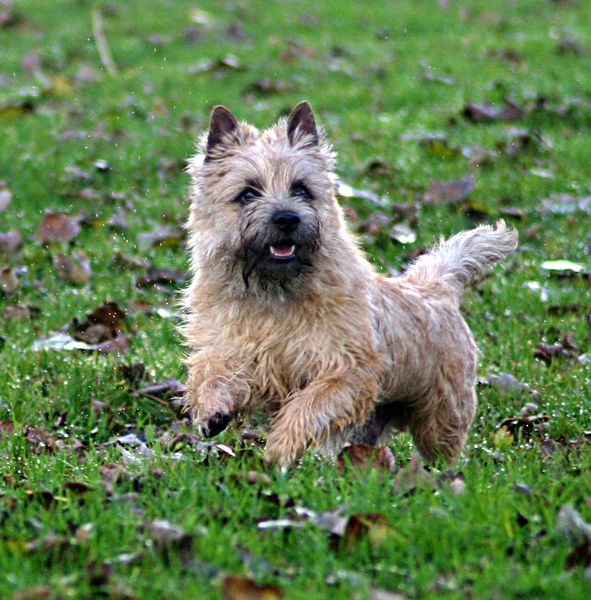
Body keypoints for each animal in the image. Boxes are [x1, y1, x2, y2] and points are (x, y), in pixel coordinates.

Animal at [182, 102, 520, 468]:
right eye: (247, 193)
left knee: (442, 444)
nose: (287, 218)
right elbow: (212, 368)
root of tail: (434, 286)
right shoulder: (236, 348)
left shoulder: (346, 371)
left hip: (443, 413)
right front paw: (211, 409)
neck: (274, 293)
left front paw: (280, 449)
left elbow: (308, 404)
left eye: (301, 189)